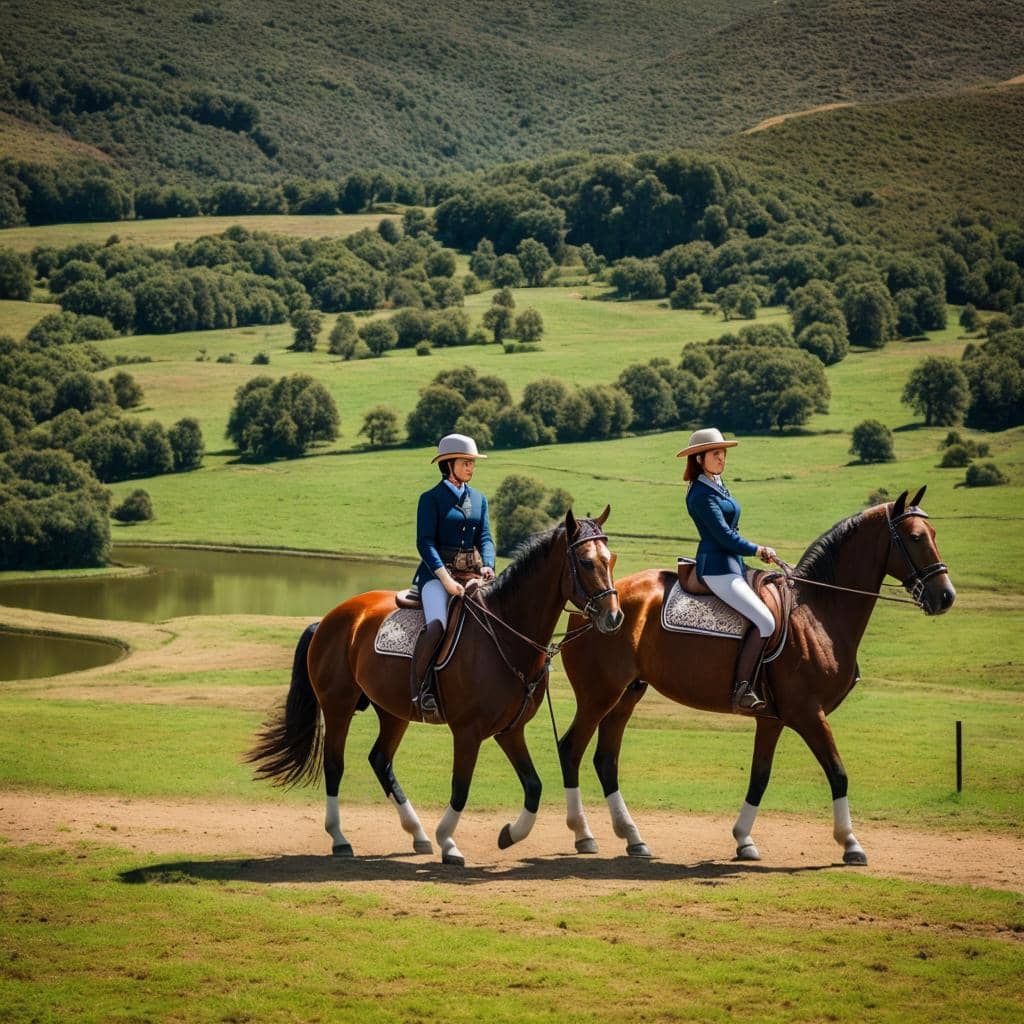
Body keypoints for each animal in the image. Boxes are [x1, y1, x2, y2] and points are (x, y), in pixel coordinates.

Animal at [245, 507, 622, 860]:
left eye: (611, 559)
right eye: (586, 562)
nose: (614, 616)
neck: (506, 632)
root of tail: (329, 618)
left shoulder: (510, 730)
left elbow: (534, 786)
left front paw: (509, 835)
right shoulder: (468, 731)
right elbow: (461, 788)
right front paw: (449, 842)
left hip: (393, 712)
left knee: (380, 760)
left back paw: (418, 834)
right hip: (338, 708)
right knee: (334, 765)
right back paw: (340, 838)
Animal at [557, 487, 954, 864]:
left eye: (935, 533)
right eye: (916, 537)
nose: (946, 596)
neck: (818, 611)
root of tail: (591, 609)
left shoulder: (772, 718)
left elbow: (759, 777)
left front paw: (744, 839)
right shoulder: (808, 713)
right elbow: (838, 772)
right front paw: (850, 843)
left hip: (627, 694)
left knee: (606, 759)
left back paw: (632, 838)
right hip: (599, 695)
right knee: (571, 749)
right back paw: (583, 835)